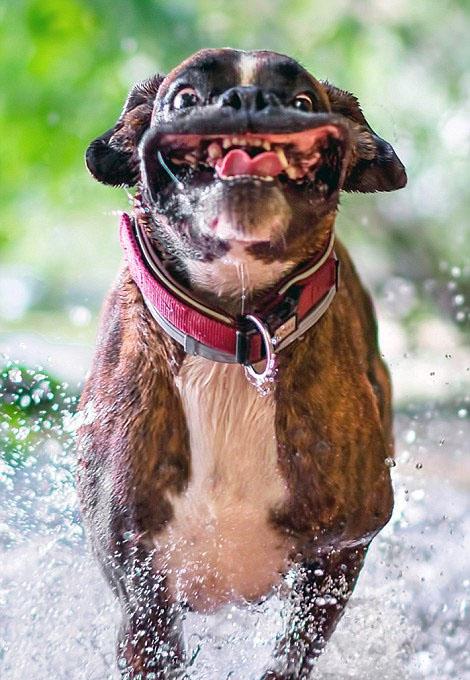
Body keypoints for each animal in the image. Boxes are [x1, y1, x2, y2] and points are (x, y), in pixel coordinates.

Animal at [79, 49, 406, 680]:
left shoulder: (339, 554)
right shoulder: (144, 597)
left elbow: (289, 655)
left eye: (302, 101)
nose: (248, 101)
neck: (237, 328)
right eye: (185, 98)